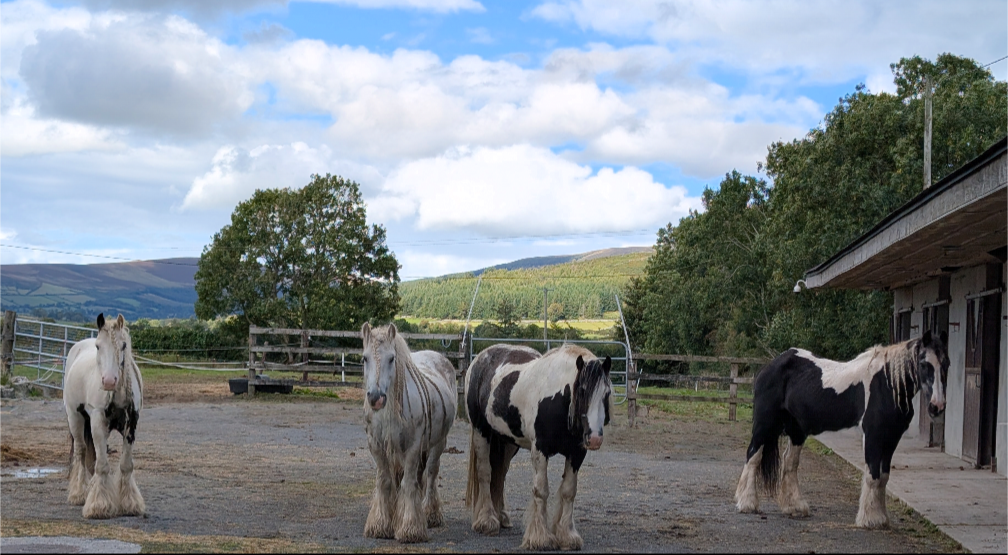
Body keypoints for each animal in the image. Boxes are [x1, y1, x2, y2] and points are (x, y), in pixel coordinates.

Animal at [64, 313, 145, 519]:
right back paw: (79, 493)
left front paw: (130, 503)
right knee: (81, 452)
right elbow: (102, 465)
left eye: (123, 345)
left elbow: (125, 464)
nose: (109, 381)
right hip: (75, 418)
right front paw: (98, 505)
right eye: (98, 346)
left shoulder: (131, 426)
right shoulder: (98, 422)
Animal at [361, 322, 457, 543]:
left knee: (430, 474)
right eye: (365, 358)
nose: (376, 398)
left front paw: (410, 528)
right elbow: (385, 481)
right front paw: (381, 525)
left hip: (438, 443)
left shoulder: (413, 447)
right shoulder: (376, 445)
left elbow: (408, 483)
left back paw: (430, 514)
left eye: (391, 358)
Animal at [465, 343, 613, 551]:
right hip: (481, 432)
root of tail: (481, 357)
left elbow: (569, 491)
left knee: (500, 475)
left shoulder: (576, 453)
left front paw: (567, 536)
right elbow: (541, 490)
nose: (595, 439)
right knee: (485, 473)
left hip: (508, 443)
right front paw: (540, 538)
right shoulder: (540, 450)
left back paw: (501, 517)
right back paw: (487, 520)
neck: (557, 400)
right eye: (582, 391)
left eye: (607, 394)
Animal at [735, 330, 949, 528]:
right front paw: (869, 519)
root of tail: (770, 366)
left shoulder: (891, 438)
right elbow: (873, 476)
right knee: (753, 456)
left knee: (789, 463)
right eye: (924, 364)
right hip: (764, 424)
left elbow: (884, 477)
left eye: (946, 364)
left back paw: (794, 507)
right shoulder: (873, 435)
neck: (886, 385)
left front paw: (881, 518)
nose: (936, 407)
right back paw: (747, 504)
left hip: (797, 430)